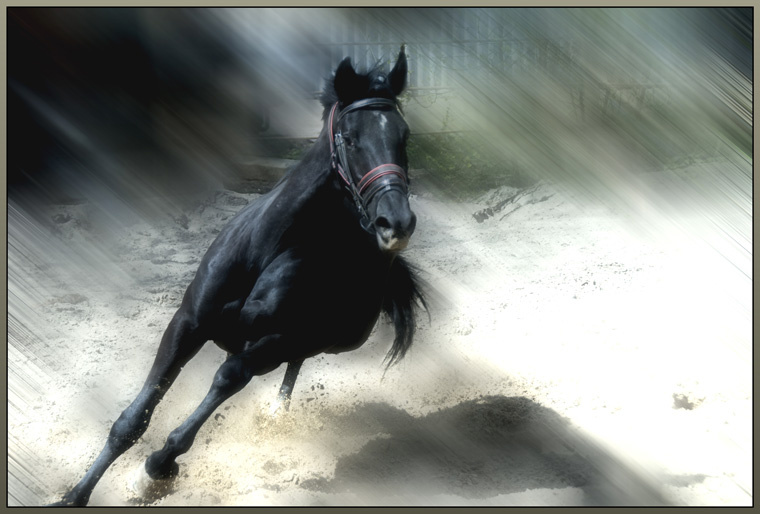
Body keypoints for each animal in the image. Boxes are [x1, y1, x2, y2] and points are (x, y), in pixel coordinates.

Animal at [50, 45, 427, 506]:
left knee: (293, 362)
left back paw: (275, 413)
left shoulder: (272, 344)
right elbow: (132, 419)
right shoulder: (188, 324)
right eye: (351, 138)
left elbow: (223, 383)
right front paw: (75, 495)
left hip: (331, 339)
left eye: (404, 136)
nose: (397, 224)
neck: (268, 249)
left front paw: (154, 471)